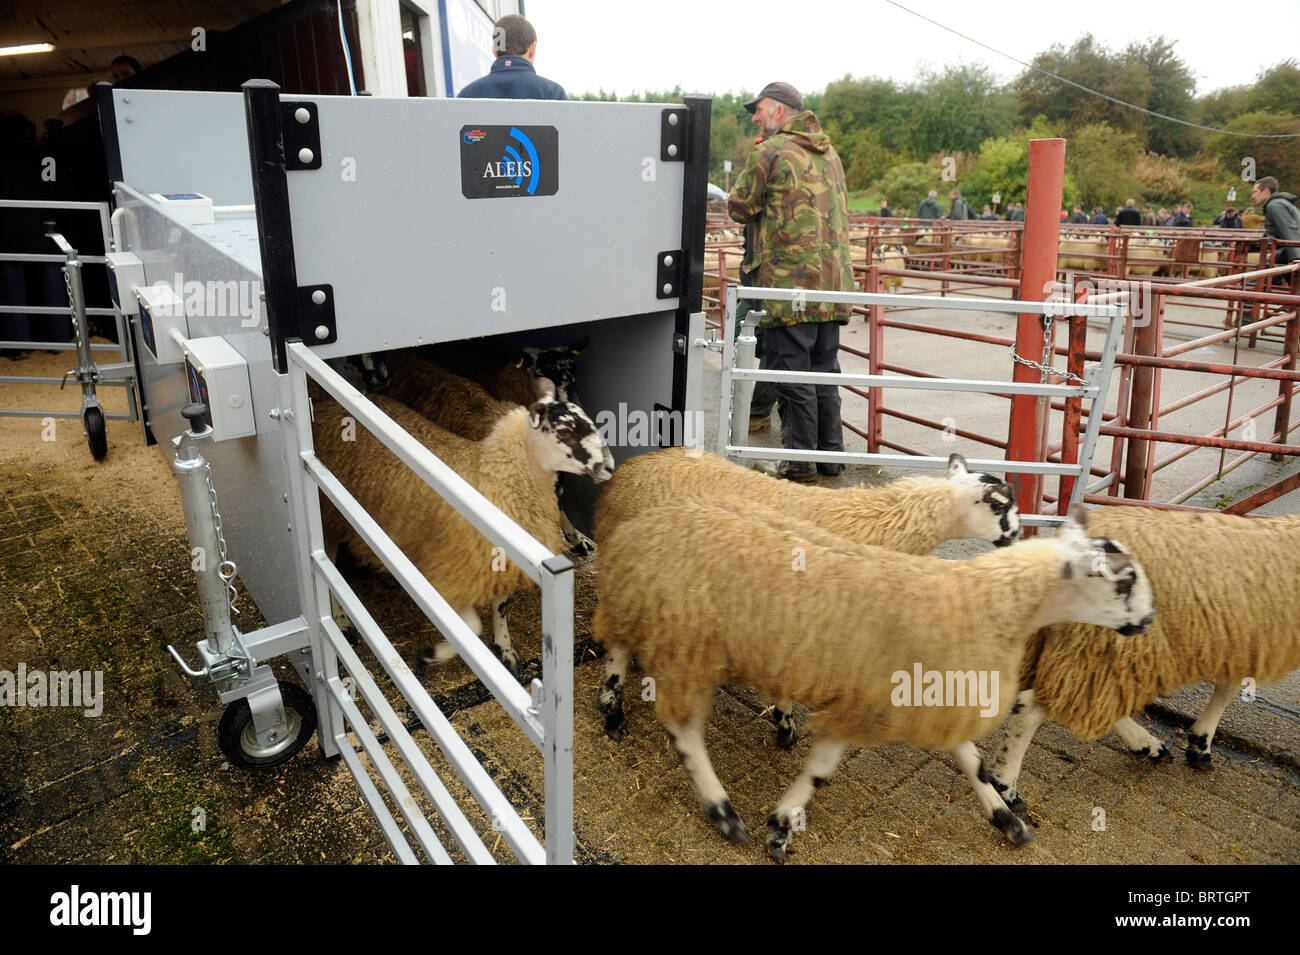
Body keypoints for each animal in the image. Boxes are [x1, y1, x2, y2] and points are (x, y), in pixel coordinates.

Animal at [311, 387, 613, 677]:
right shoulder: (453, 569)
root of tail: (327, 407)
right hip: (328, 511)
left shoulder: (501, 562)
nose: (609, 467)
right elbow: (471, 625)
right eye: (564, 431)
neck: (496, 476)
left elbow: (500, 608)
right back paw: (341, 620)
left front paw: (505, 649)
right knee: (328, 561)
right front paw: (431, 656)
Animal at [592, 500, 1154, 860]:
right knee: (683, 727)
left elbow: (972, 763)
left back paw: (611, 706)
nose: (1149, 622)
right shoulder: (868, 701)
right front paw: (781, 827)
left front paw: (1008, 822)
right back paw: (721, 810)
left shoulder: (929, 696)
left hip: (656, 615)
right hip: (687, 638)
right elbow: (821, 771)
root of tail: (643, 526)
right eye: (1124, 580)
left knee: (620, 646)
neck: (984, 602)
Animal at [593, 449, 1021, 746]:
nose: (1018, 536)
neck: (883, 522)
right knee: (617, 641)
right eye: (1003, 508)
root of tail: (628, 470)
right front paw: (786, 726)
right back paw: (612, 710)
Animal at [988, 506, 1300, 810]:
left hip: (1085, 645)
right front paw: (1201, 745)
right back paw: (1006, 788)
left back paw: (1146, 745)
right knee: (1034, 709)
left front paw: (1199, 743)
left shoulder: (1244, 640)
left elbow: (1229, 685)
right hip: (1101, 642)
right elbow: (1229, 688)